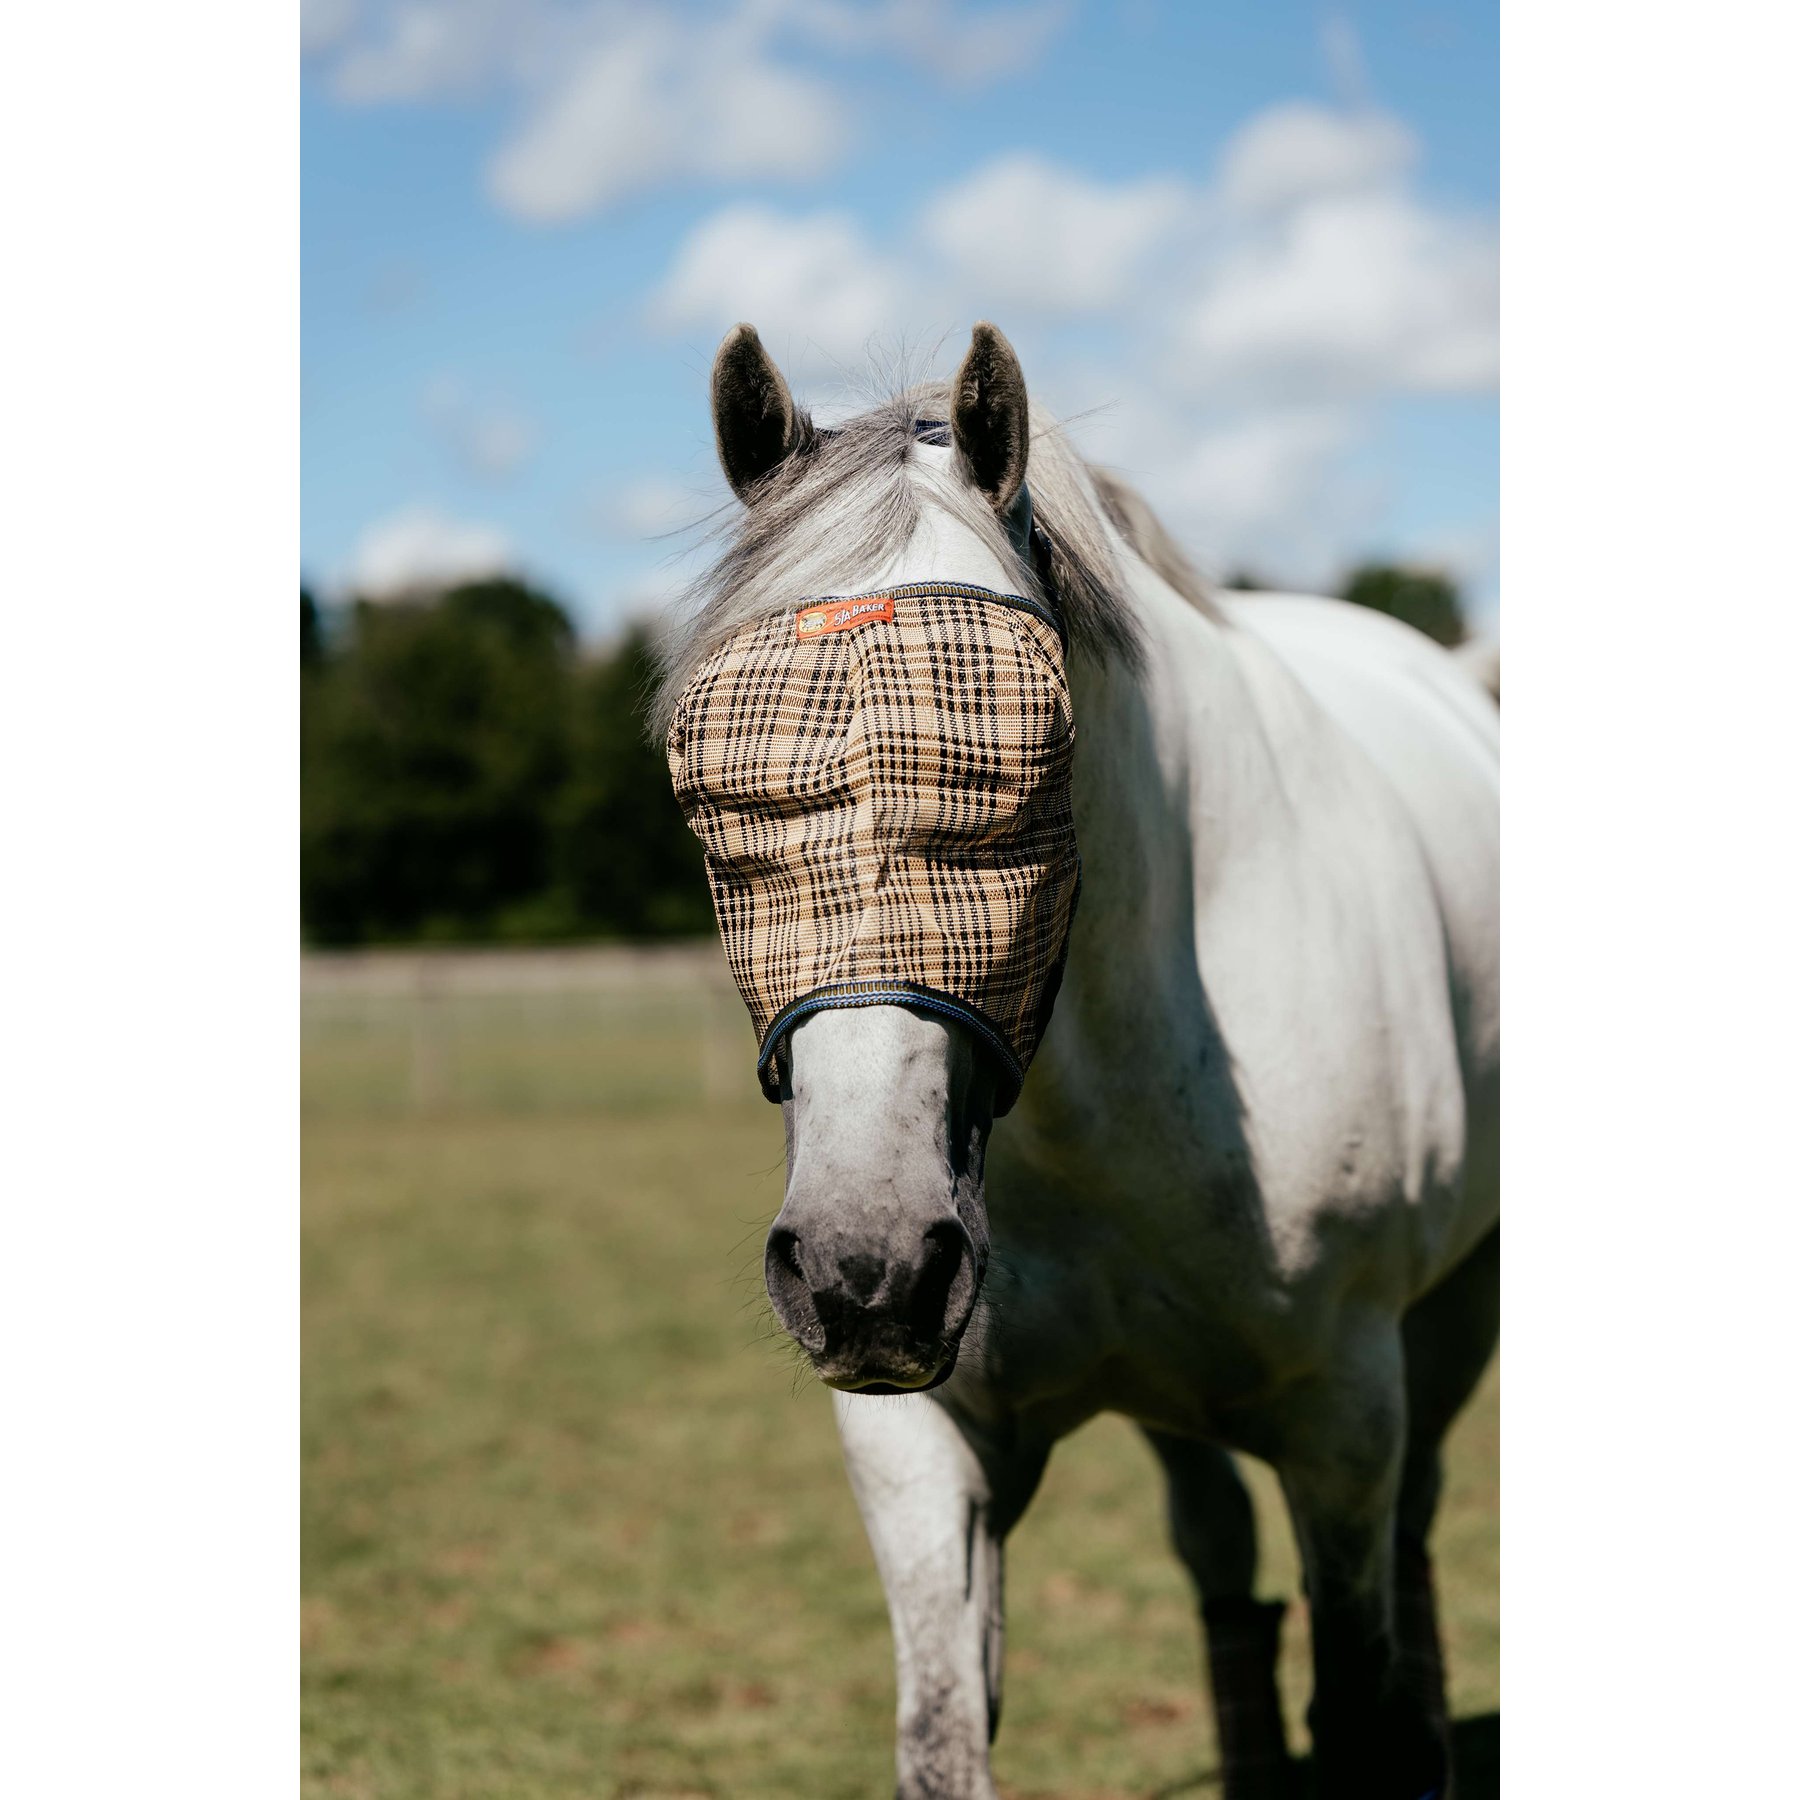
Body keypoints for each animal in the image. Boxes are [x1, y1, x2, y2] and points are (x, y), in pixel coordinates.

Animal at [656, 322, 1500, 1800]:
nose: (865, 1268)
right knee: (1221, 1563)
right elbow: (943, 1740)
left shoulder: (1347, 1416)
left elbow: (1358, 1691)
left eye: (1029, 776)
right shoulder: (918, 1443)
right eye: (709, 802)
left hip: (1450, 1325)